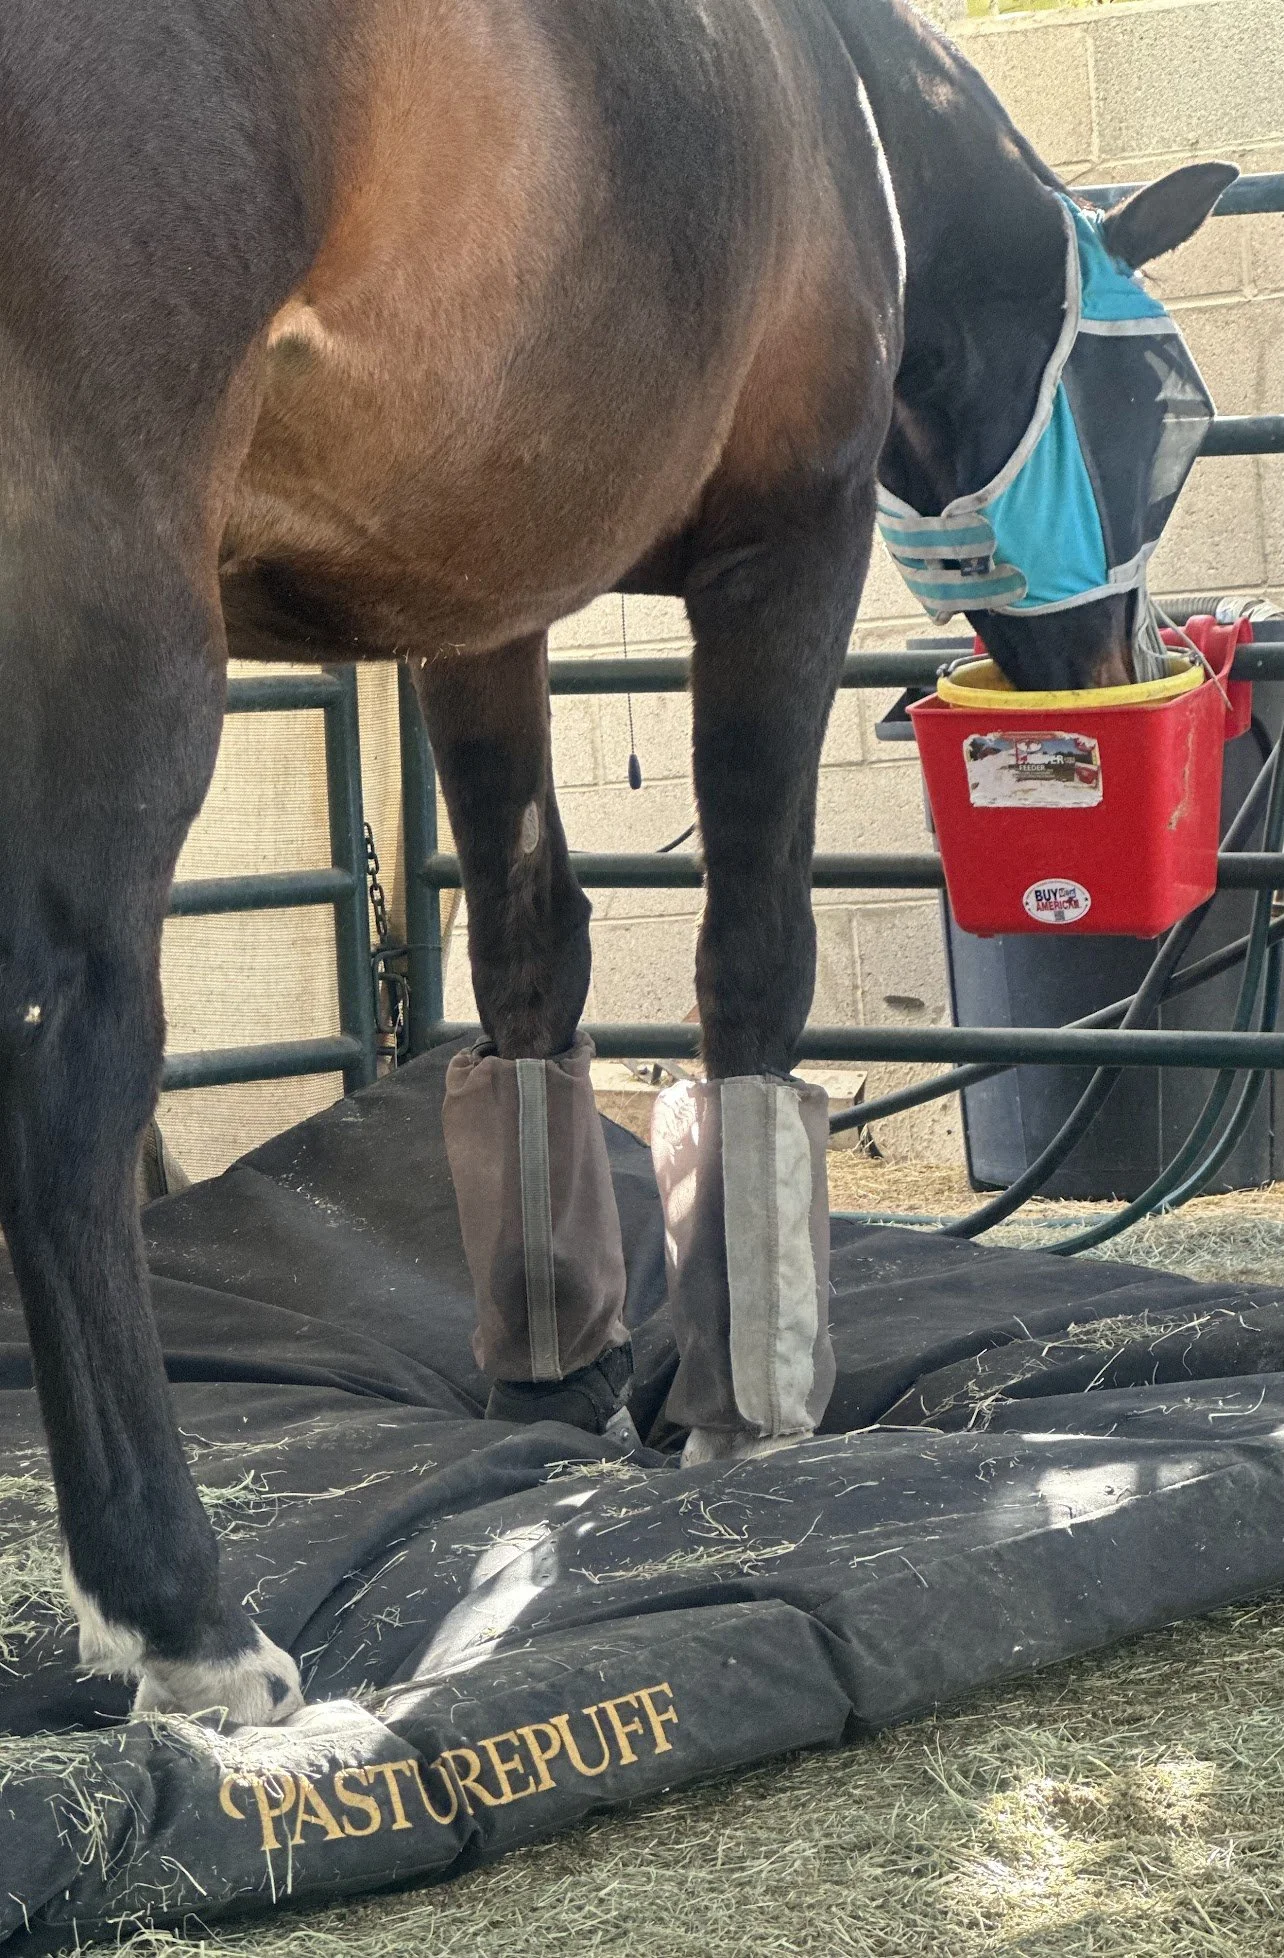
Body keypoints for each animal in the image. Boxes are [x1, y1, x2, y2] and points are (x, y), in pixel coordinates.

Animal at [0, 0, 1233, 1724]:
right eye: (1170, 404)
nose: (1125, 662)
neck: (849, 114)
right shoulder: (788, 549)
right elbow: (753, 954)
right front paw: (741, 1399)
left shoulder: (472, 605)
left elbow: (533, 951)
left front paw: (558, 1371)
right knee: (74, 1072)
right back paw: (184, 1615)